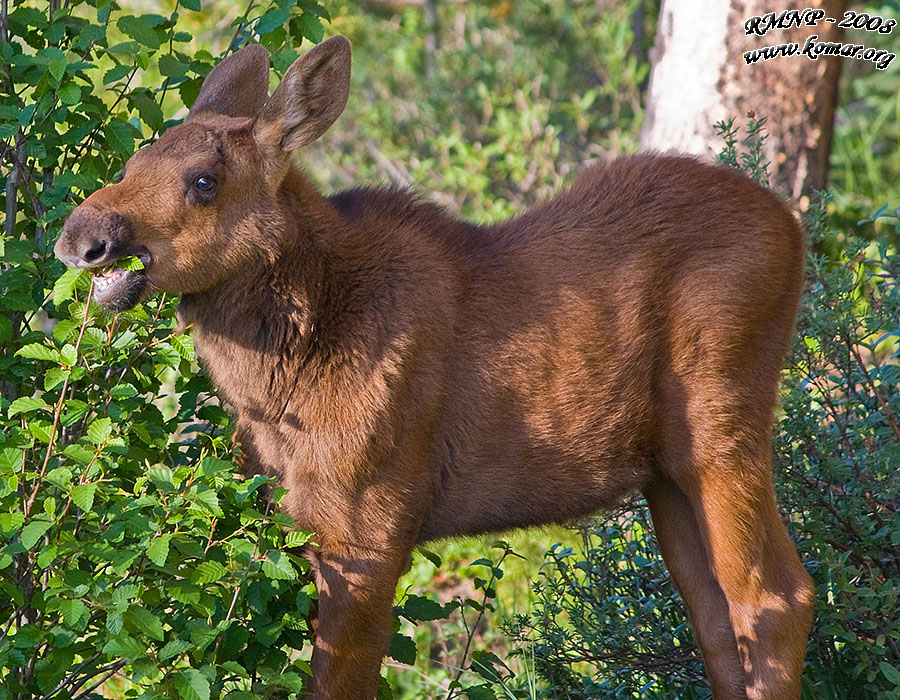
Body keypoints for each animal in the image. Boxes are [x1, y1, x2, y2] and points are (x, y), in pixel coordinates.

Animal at [56, 34, 816, 700]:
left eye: (203, 181)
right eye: (133, 162)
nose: (79, 239)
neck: (280, 383)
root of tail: (795, 228)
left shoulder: (367, 530)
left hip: (721, 432)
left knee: (777, 598)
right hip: (666, 474)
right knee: (717, 619)